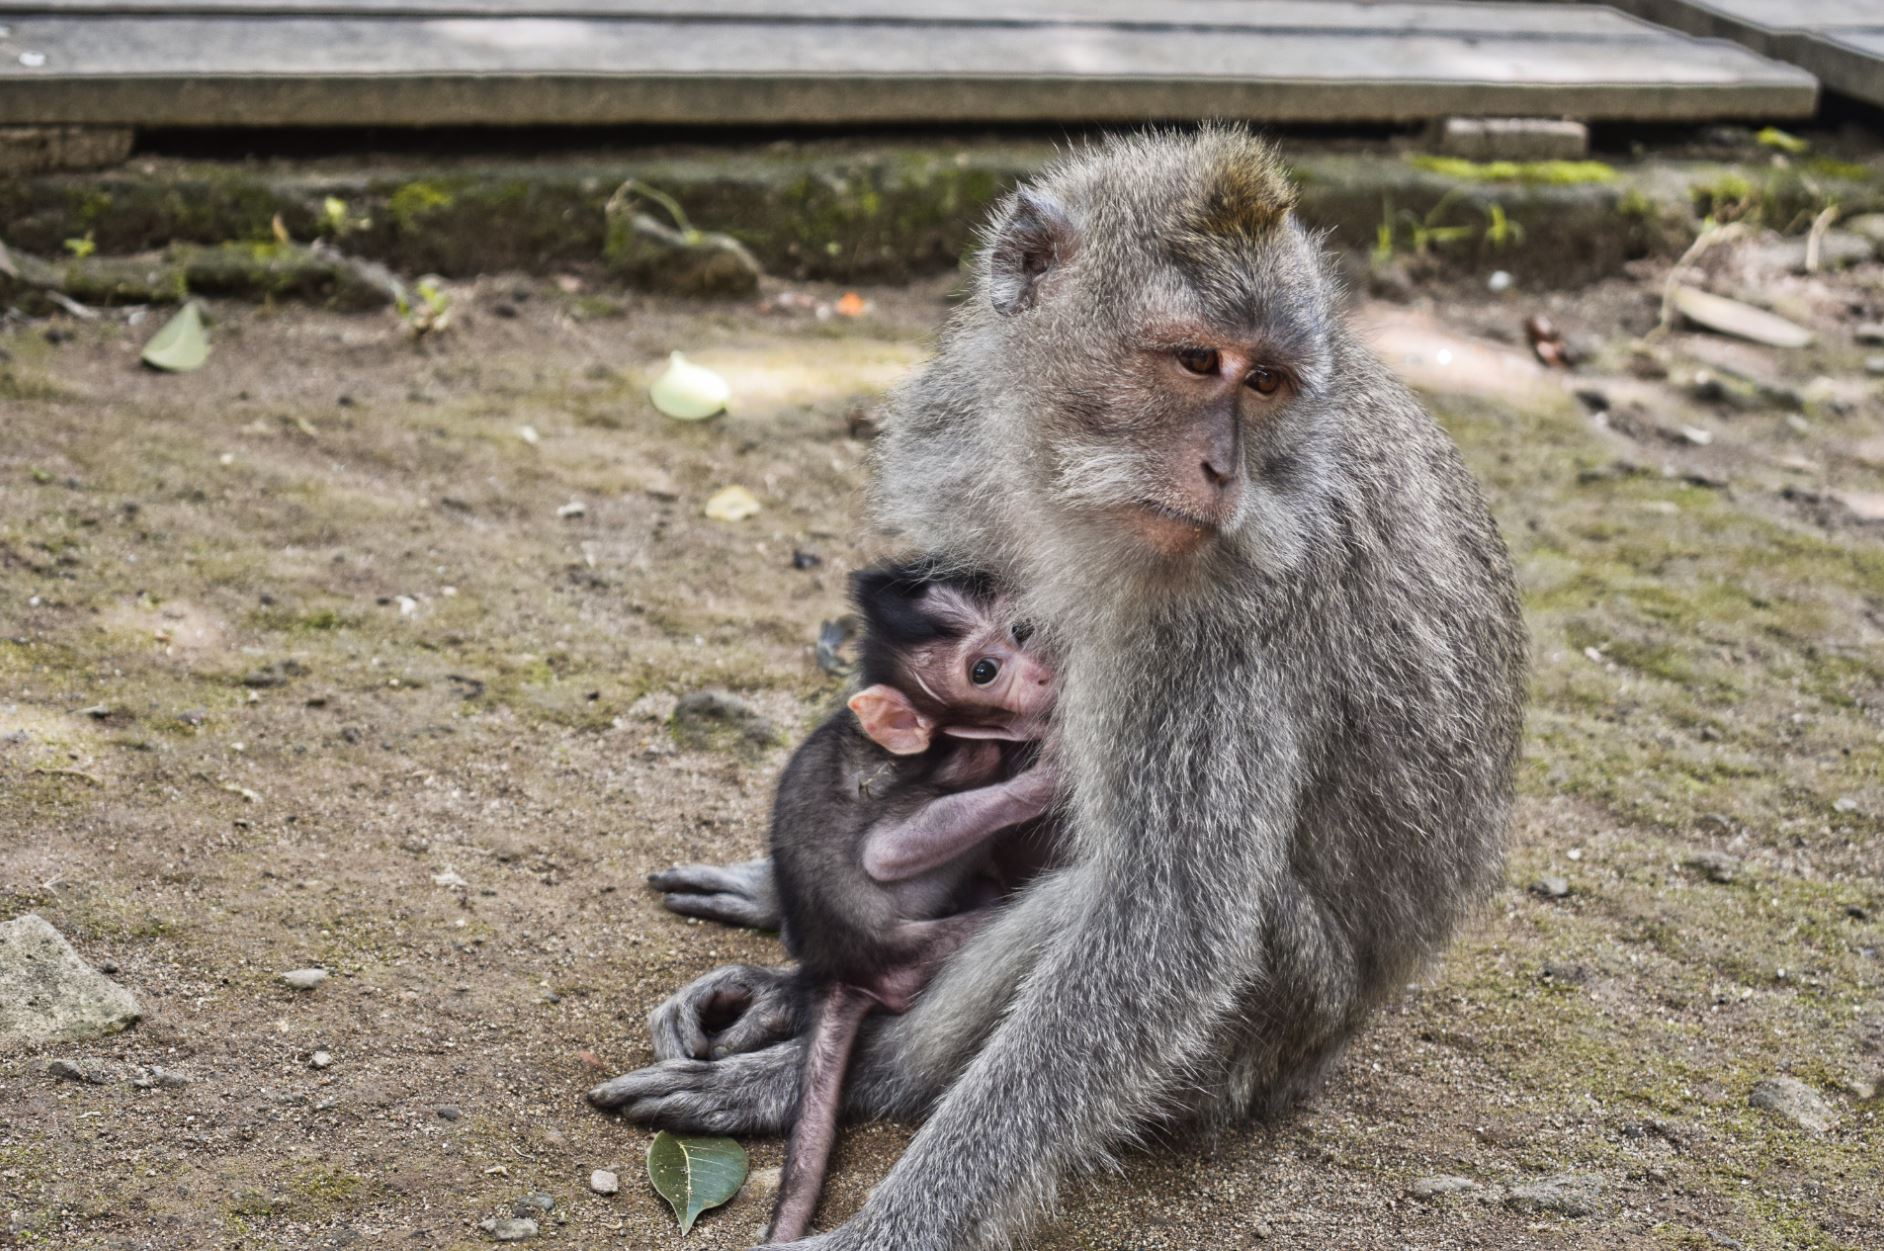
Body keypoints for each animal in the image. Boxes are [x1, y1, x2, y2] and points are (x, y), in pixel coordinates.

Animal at [762, 559, 1055, 1243]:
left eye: (1020, 631)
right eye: (983, 672)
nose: (1043, 673)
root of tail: (836, 967)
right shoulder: (952, 759)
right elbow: (886, 854)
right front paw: (1043, 774)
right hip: (910, 950)